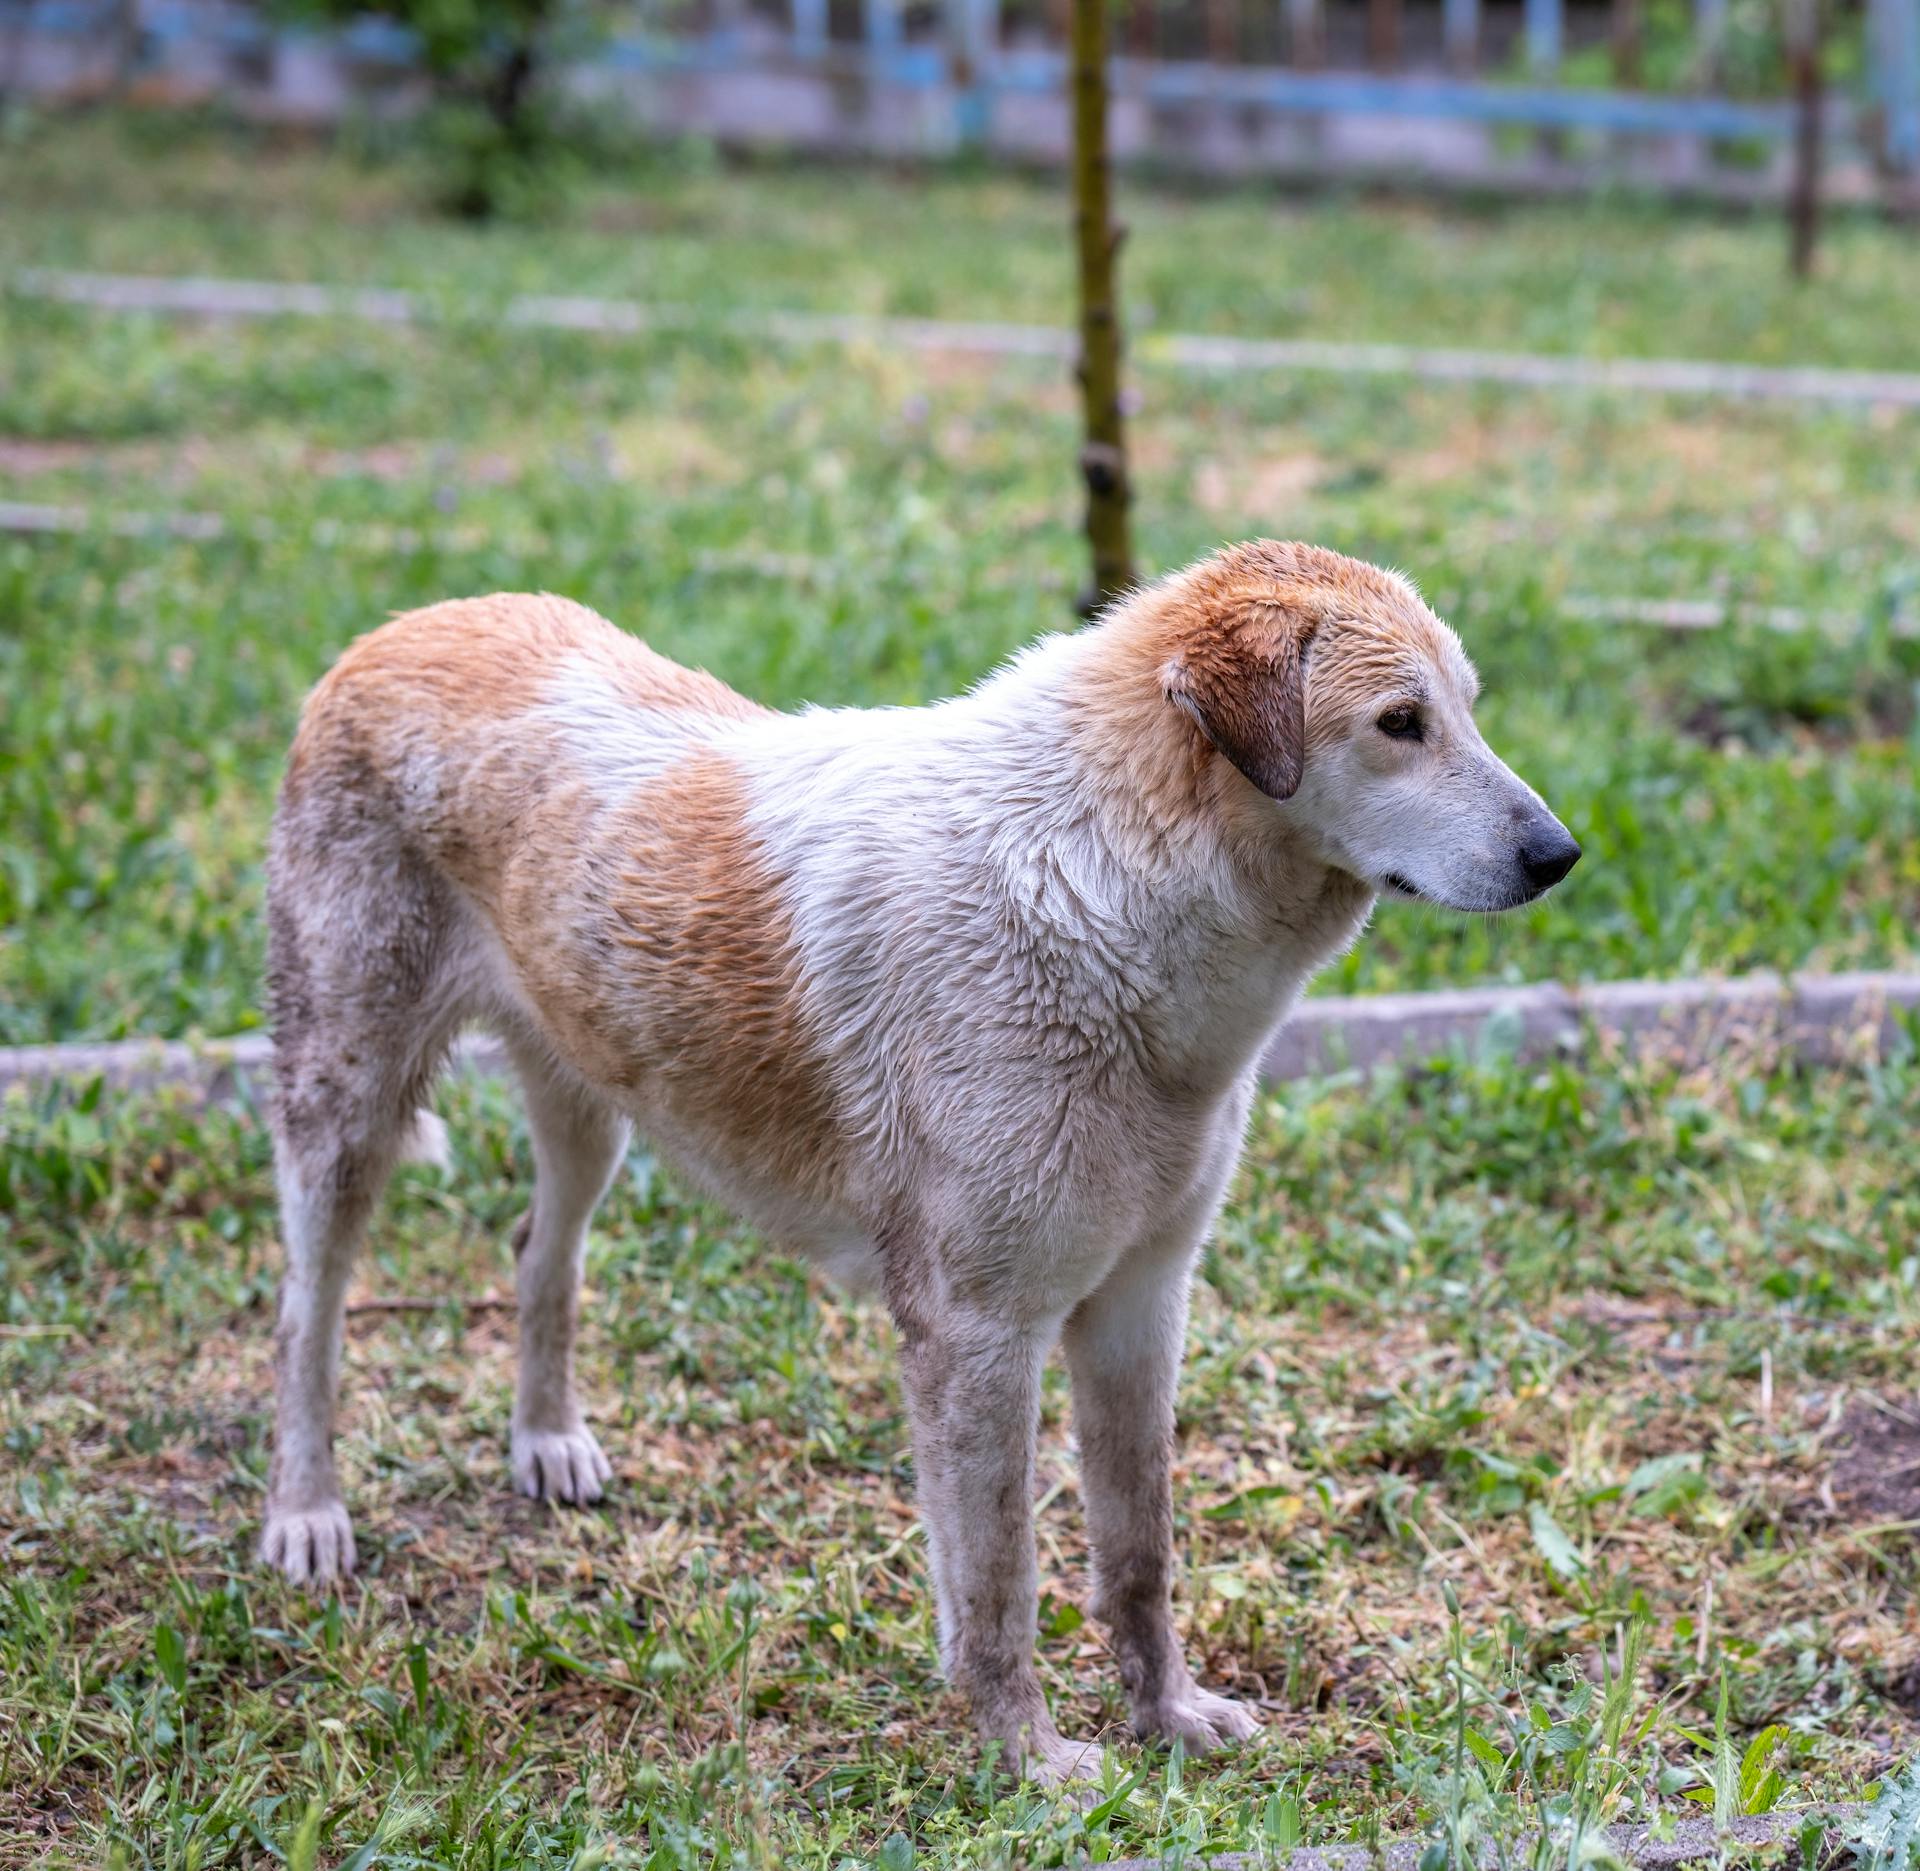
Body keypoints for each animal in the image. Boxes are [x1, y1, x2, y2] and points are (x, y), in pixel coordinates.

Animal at [259, 537, 1574, 1790]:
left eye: (1467, 709)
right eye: (1400, 723)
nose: (1560, 853)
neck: (1089, 890)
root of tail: (406, 624)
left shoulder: (1143, 1301)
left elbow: (1138, 1553)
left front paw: (1167, 1718)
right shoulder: (979, 1332)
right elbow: (998, 1588)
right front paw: (1029, 1761)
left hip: (594, 1105)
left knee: (541, 1247)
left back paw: (546, 1442)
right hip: (344, 1110)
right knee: (307, 1312)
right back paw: (306, 1514)